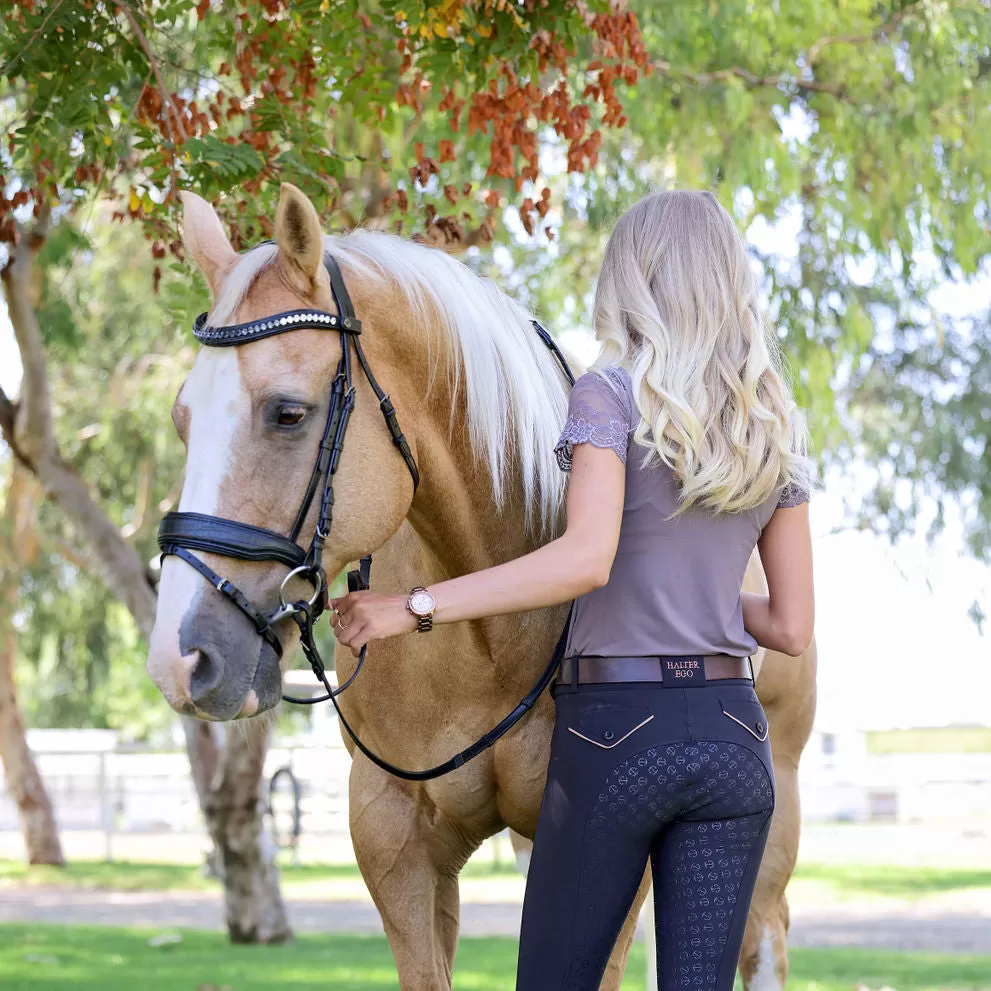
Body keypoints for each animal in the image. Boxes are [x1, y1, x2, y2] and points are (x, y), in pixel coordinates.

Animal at [145, 186, 812, 991]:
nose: (181, 658)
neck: (488, 628)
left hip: (777, 805)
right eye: (182, 418)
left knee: (765, 935)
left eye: (287, 413)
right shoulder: (394, 836)